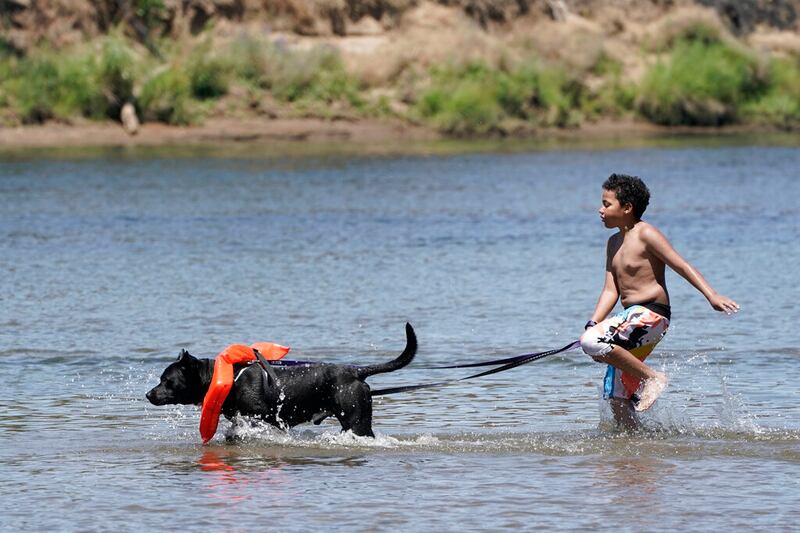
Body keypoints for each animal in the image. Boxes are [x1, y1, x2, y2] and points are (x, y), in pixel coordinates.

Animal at [146, 323, 416, 438]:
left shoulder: (259, 418)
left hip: (356, 420)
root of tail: (356, 371)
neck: (229, 378)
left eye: (166, 380)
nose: (149, 394)